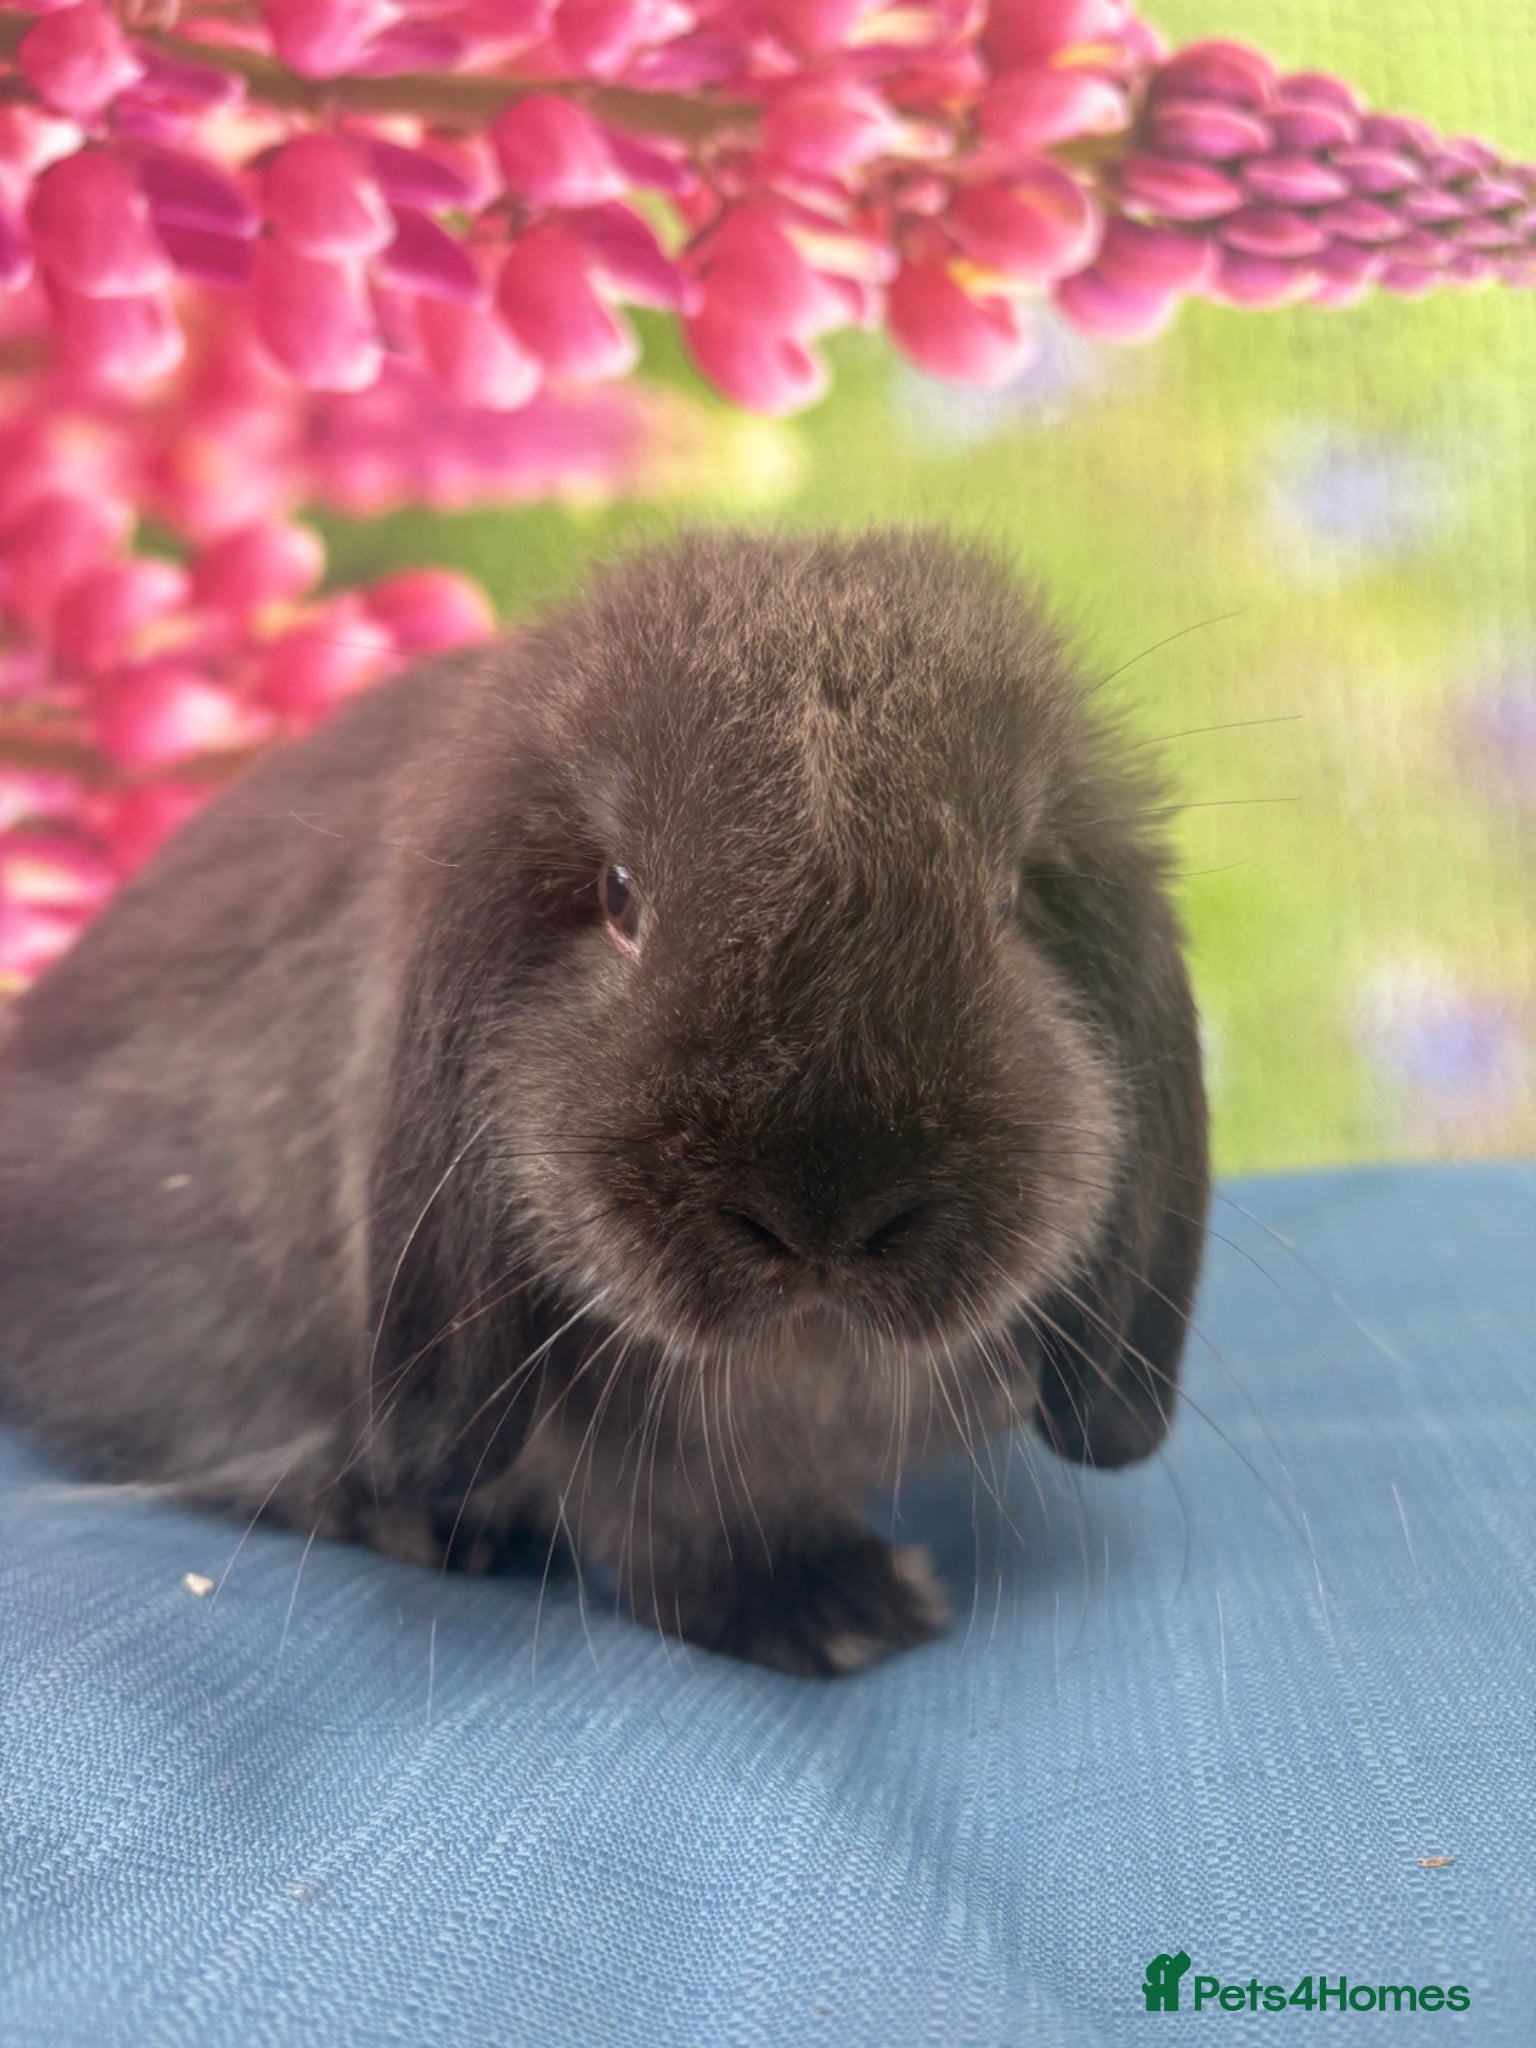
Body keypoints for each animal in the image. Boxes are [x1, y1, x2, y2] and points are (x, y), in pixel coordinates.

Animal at [0, 529, 1209, 1677]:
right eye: (619, 895)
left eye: (1011, 900)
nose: (825, 1210)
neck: (800, 1368)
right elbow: (675, 1521)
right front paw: (831, 1612)